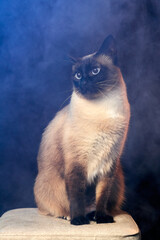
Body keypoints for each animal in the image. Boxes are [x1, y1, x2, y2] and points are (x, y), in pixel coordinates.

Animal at [33, 35, 130, 225]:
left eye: (95, 71)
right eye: (78, 75)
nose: (83, 82)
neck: (102, 109)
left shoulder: (109, 163)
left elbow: (102, 196)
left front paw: (101, 218)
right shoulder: (77, 162)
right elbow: (76, 195)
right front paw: (78, 220)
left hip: (118, 178)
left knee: (97, 203)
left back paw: (93, 215)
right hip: (52, 184)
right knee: (55, 209)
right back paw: (71, 216)